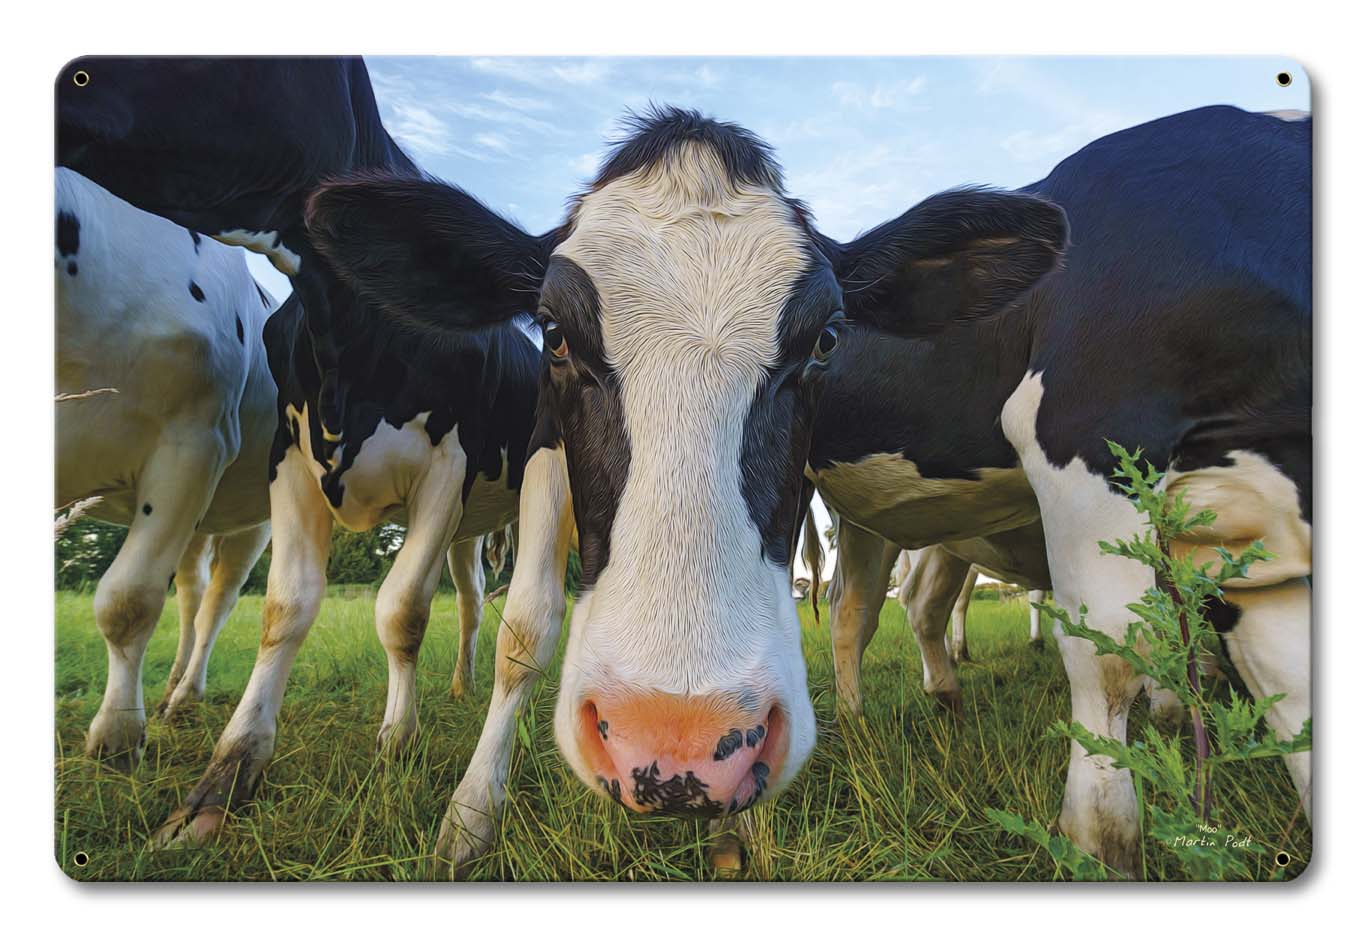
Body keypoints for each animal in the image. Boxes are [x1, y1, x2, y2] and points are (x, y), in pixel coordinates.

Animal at [56, 167, 276, 766]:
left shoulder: (195, 441)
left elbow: (127, 601)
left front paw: (116, 736)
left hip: (252, 514)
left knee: (217, 600)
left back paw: (185, 696)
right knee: (192, 592)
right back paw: (173, 682)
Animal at [301, 105, 1070, 870]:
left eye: (826, 340)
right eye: (553, 333)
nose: (678, 746)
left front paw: (741, 831)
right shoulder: (544, 444)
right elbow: (522, 632)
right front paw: (469, 818)